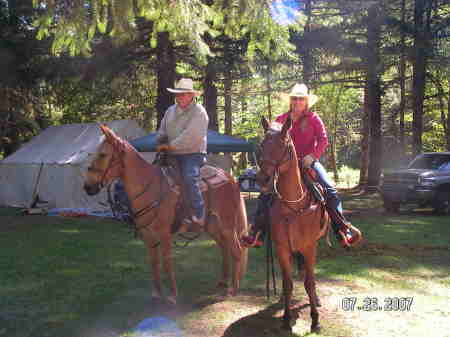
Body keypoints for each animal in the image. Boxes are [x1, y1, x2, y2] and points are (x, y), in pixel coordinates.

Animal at [82, 124, 248, 304]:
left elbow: (167, 262)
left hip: (227, 225)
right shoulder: (148, 235)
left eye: (103, 154)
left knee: (237, 250)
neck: (151, 186)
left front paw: (173, 297)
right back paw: (223, 282)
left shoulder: (164, 234)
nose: (87, 187)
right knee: (224, 248)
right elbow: (154, 263)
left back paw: (233, 290)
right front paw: (156, 294)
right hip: (213, 226)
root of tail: (230, 178)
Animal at [256, 117, 330, 332]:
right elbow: (287, 283)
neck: (292, 207)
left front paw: (315, 320)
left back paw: (316, 300)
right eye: (262, 145)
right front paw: (286, 319)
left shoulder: (310, 247)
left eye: (284, 145)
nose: (262, 179)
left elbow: (310, 282)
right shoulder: (282, 248)